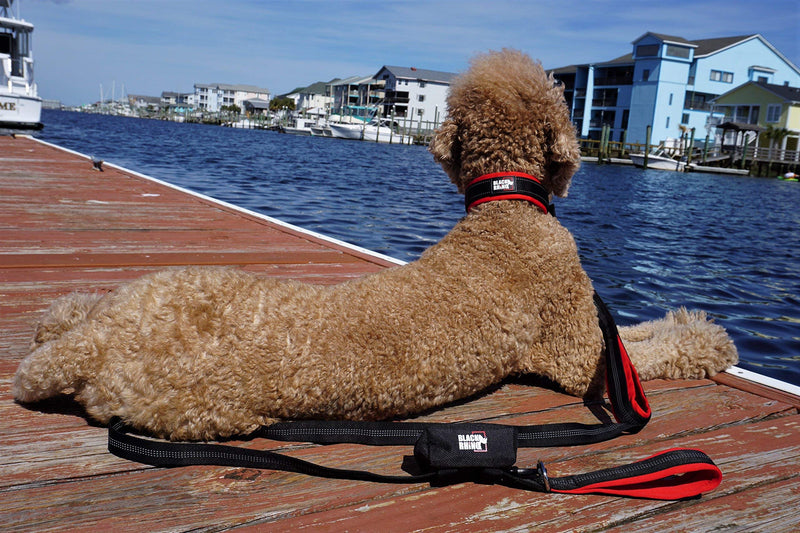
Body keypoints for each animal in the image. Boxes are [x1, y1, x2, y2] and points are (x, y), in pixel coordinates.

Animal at [12, 48, 736, 440]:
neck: (504, 211)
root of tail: (86, 349)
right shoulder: (576, 353)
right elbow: (649, 349)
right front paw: (707, 338)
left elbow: (642, 336)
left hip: (153, 289)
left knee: (79, 307)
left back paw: (60, 315)